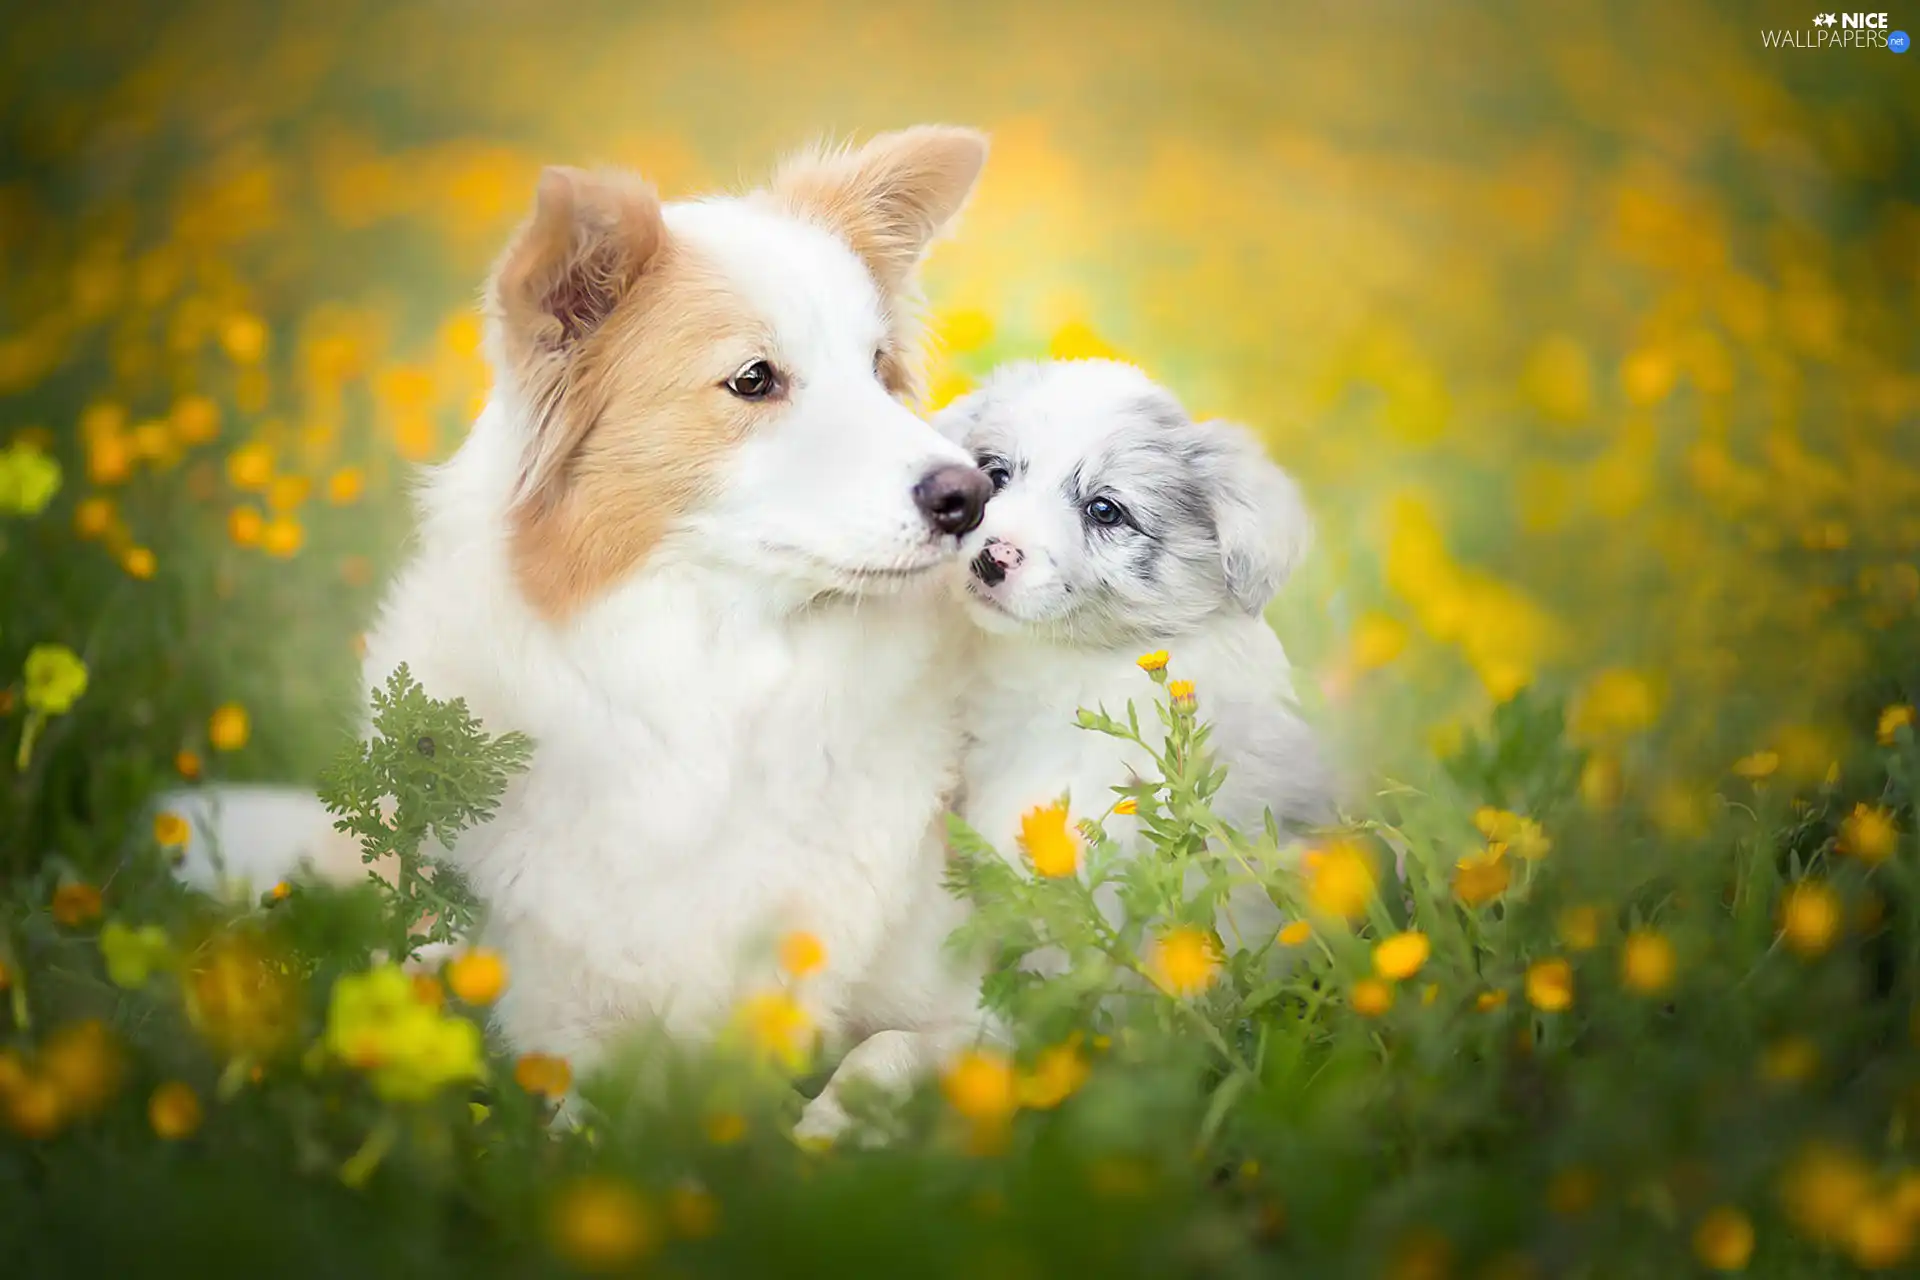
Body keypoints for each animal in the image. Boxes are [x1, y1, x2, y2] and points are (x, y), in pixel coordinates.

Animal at [168, 130, 1006, 1136]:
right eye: (754, 380)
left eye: (879, 370)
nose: (970, 495)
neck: (725, 696)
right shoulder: (561, 1033)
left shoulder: (987, 1008)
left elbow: (883, 1057)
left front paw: (820, 1137)